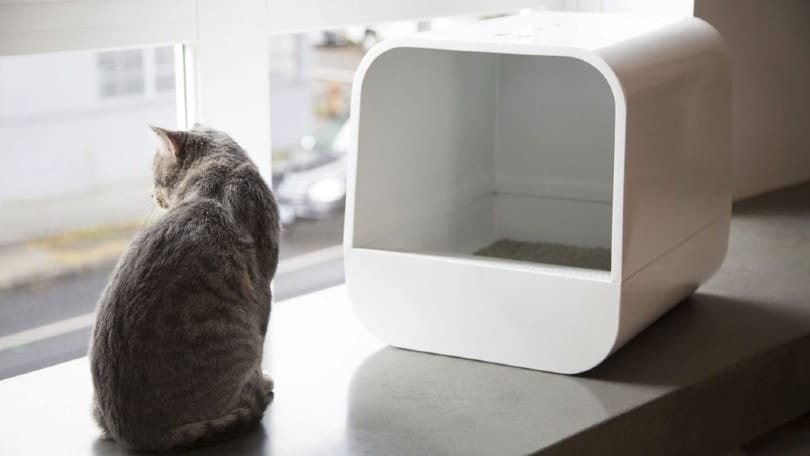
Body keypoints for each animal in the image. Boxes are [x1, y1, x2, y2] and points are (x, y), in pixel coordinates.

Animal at [89, 124, 280, 452]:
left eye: (154, 171)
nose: (152, 193)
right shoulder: (263, 288)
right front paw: (264, 380)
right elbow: (261, 348)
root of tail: (132, 433)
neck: (220, 169)